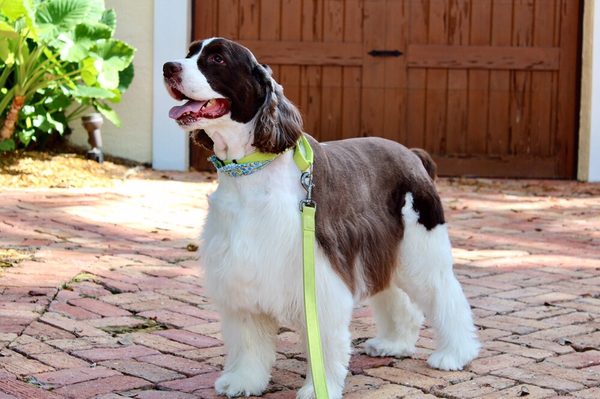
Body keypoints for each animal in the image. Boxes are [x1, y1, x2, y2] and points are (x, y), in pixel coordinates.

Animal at [163, 38, 478, 399]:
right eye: (189, 53)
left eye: (217, 58)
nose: (168, 67)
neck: (252, 172)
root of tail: (412, 155)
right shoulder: (241, 274)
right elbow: (248, 340)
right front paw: (242, 382)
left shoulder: (319, 276)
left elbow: (324, 341)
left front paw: (318, 389)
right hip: (383, 251)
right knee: (395, 295)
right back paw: (394, 344)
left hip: (421, 246)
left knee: (445, 295)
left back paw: (454, 354)